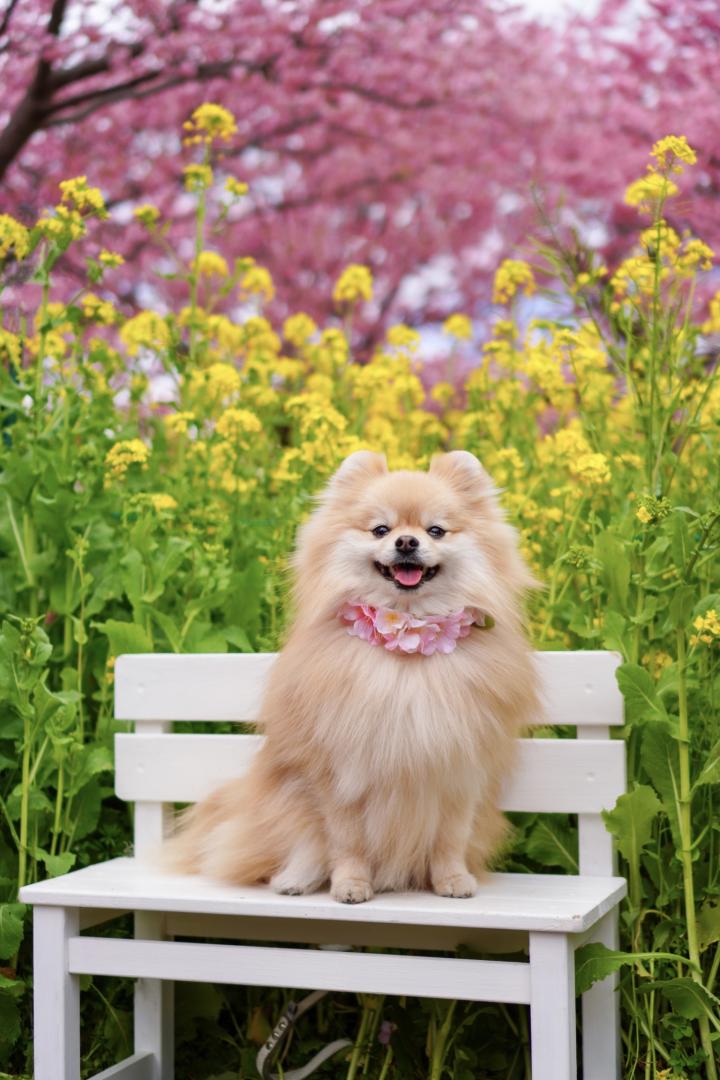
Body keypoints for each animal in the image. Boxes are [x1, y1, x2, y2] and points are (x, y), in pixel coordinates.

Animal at [162, 449, 539, 902]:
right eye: (381, 529)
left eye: (436, 530)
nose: (407, 542)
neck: (405, 645)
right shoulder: (339, 775)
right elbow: (346, 841)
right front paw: (350, 885)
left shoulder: (458, 772)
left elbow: (451, 837)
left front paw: (452, 880)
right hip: (286, 800)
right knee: (297, 845)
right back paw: (296, 879)